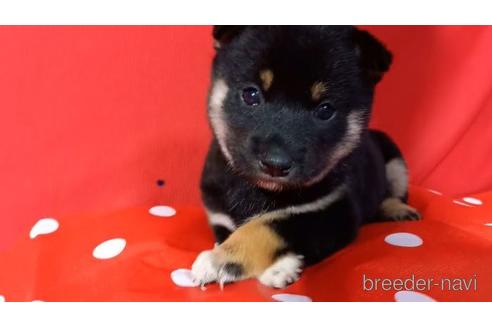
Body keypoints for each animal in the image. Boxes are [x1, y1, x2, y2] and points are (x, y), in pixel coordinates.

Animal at [190, 25, 420, 288]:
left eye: (325, 110)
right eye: (250, 95)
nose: (275, 165)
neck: (261, 192)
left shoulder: (334, 211)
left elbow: (270, 224)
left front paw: (222, 260)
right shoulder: (220, 217)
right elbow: (242, 227)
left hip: (394, 158)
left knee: (394, 193)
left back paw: (397, 209)